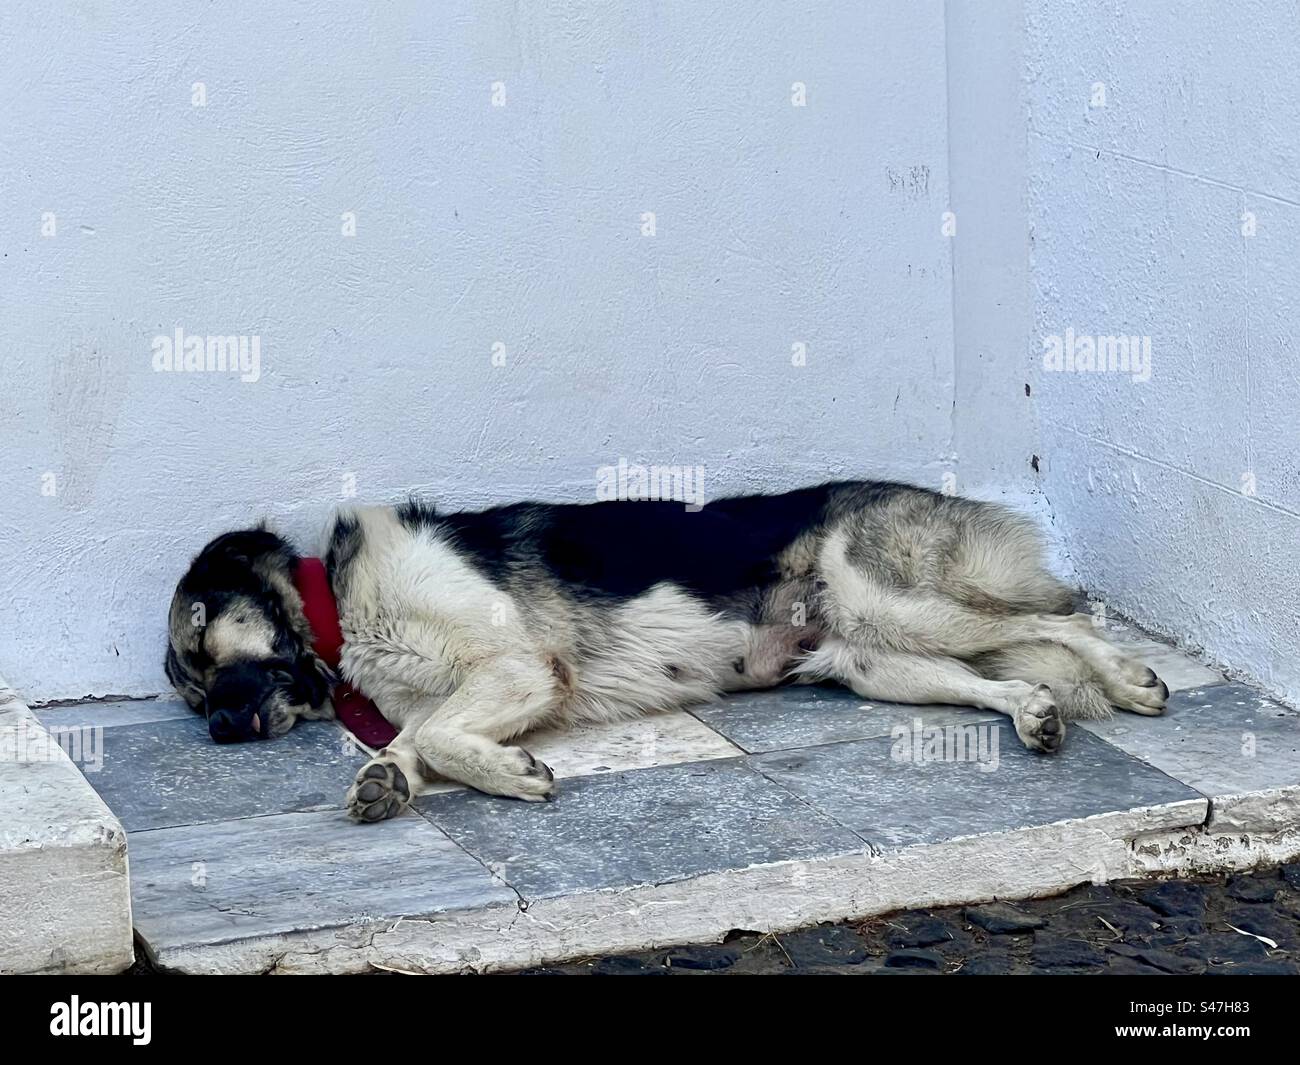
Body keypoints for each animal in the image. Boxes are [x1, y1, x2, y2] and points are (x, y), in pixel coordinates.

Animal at [162, 478, 1170, 821]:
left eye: (203, 640)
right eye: (189, 690)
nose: (217, 730)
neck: (344, 612)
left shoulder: (523, 667)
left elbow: (443, 735)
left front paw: (511, 775)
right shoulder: (485, 687)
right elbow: (418, 740)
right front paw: (387, 779)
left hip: (898, 601)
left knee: (1064, 620)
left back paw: (1129, 678)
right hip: (873, 660)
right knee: (984, 677)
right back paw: (1033, 713)